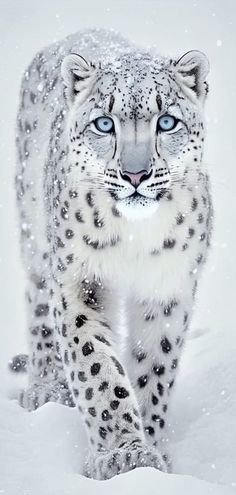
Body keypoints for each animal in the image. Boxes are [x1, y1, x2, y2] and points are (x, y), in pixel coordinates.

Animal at [12, 28, 213, 480]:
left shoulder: (167, 287)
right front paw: (122, 454)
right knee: (37, 299)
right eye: (104, 124)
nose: (135, 174)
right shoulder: (79, 281)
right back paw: (46, 386)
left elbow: (154, 365)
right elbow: (96, 367)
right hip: (35, 235)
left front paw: (149, 449)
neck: (134, 240)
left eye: (166, 121)